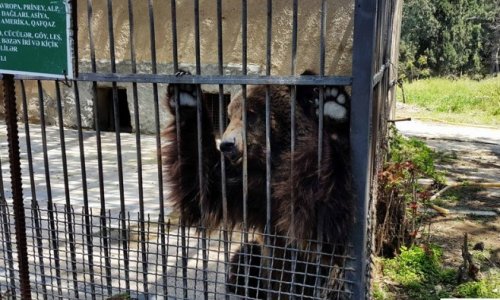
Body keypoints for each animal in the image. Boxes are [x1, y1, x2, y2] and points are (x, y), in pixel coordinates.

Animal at [162, 69, 354, 298]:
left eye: (251, 113)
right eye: (230, 115)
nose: (226, 144)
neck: (275, 162)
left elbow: (325, 226)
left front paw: (334, 109)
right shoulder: (251, 190)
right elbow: (204, 189)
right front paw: (186, 96)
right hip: (261, 266)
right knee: (245, 257)